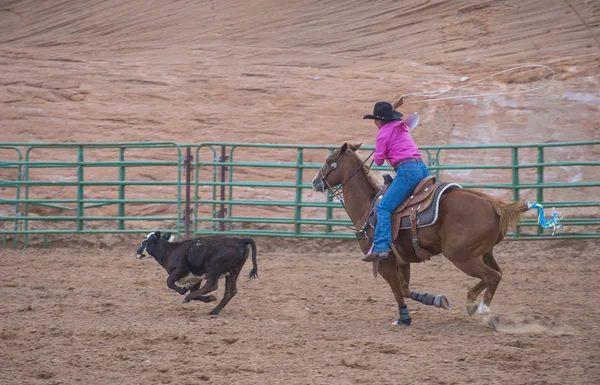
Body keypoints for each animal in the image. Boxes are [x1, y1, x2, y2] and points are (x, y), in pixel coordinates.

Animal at [312, 142, 532, 328]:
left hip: (462, 257)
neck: (369, 208)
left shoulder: (384, 263)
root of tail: (493, 204)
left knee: (492, 276)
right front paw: (436, 300)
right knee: (496, 274)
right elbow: (406, 289)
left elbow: (398, 292)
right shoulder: (402, 260)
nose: (315, 181)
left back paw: (485, 312)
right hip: (484, 253)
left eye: (329, 161)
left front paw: (404, 318)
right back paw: (471, 303)